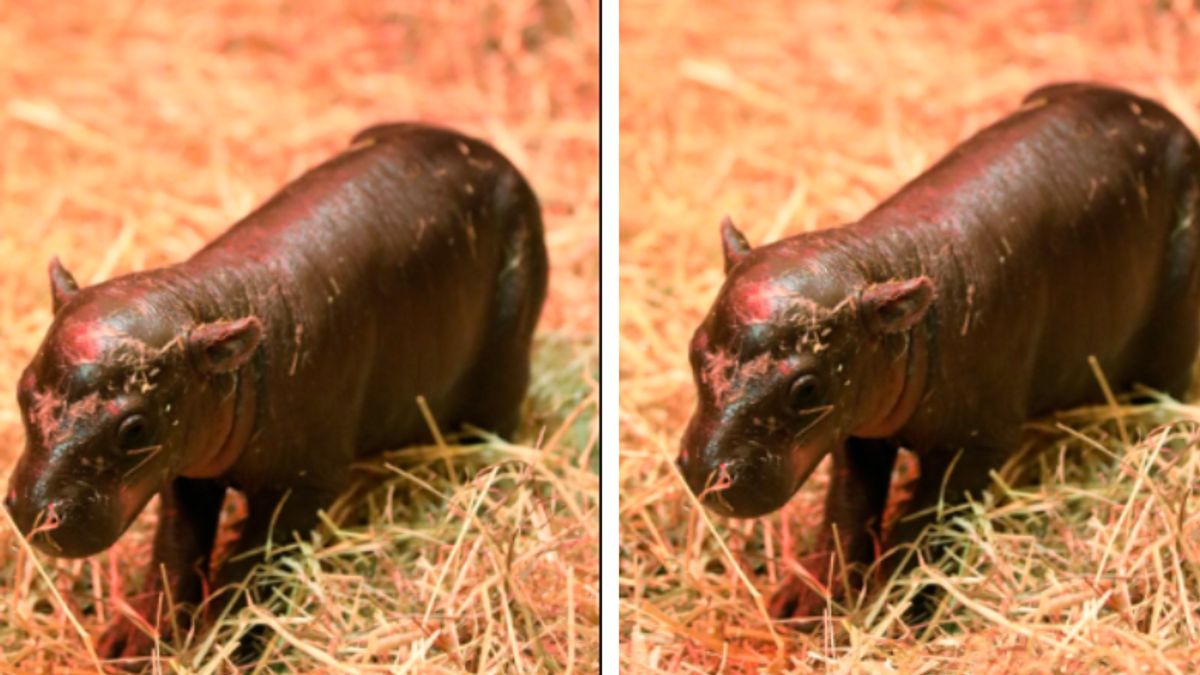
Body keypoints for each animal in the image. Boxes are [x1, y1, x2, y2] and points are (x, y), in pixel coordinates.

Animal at [3, 121, 549, 658]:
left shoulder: (306, 483)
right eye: (22, 389)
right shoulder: (187, 468)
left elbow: (253, 561)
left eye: (134, 427)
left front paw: (226, 647)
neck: (211, 307)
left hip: (505, 361)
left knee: (497, 426)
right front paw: (129, 645)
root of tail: (485, 150)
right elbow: (175, 549)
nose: (31, 511)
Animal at [676, 81, 1200, 619]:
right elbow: (848, 506)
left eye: (806, 388)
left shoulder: (976, 443)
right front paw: (803, 604)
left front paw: (897, 608)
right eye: (695, 349)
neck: (881, 266)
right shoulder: (856, 428)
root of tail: (1161, 113)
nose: (703, 472)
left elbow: (925, 522)